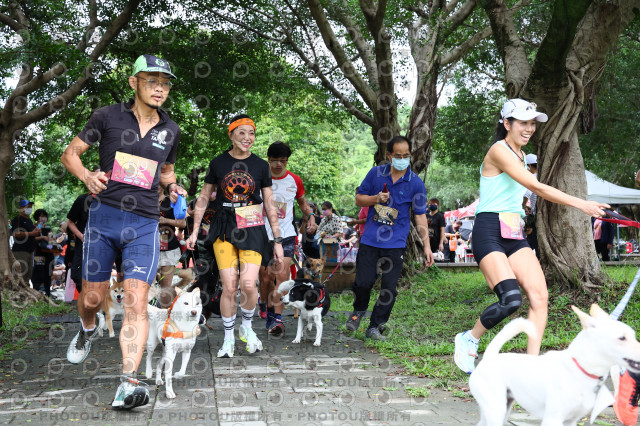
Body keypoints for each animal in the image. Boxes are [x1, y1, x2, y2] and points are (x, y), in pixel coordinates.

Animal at [468, 304, 640, 424]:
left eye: (633, 335)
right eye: (622, 338)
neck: (581, 368)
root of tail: (489, 357)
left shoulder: (571, 421)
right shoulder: (553, 419)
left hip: (501, 409)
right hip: (496, 410)